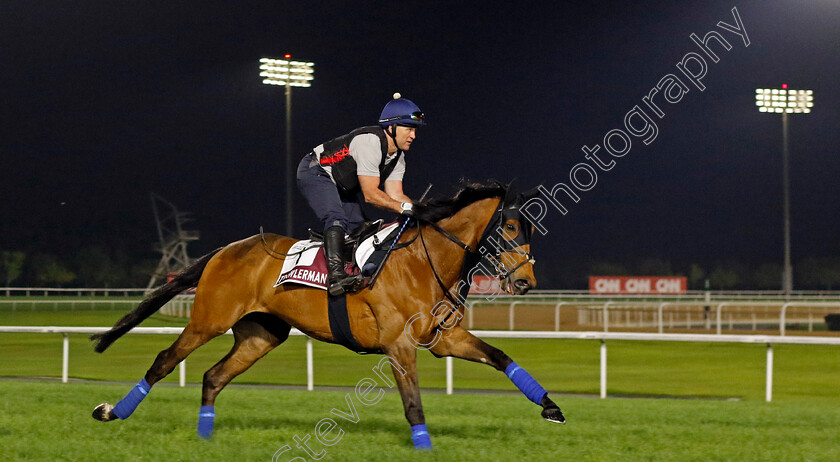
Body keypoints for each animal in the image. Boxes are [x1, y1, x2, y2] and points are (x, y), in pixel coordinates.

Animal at [90, 182, 564, 450]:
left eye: (530, 227)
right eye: (508, 228)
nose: (526, 282)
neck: (421, 261)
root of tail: (226, 250)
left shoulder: (444, 339)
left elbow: (502, 358)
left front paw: (552, 407)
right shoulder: (399, 344)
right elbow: (412, 403)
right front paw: (425, 446)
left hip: (261, 335)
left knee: (213, 376)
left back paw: (205, 438)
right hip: (208, 320)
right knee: (164, 362)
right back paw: (112, 412)